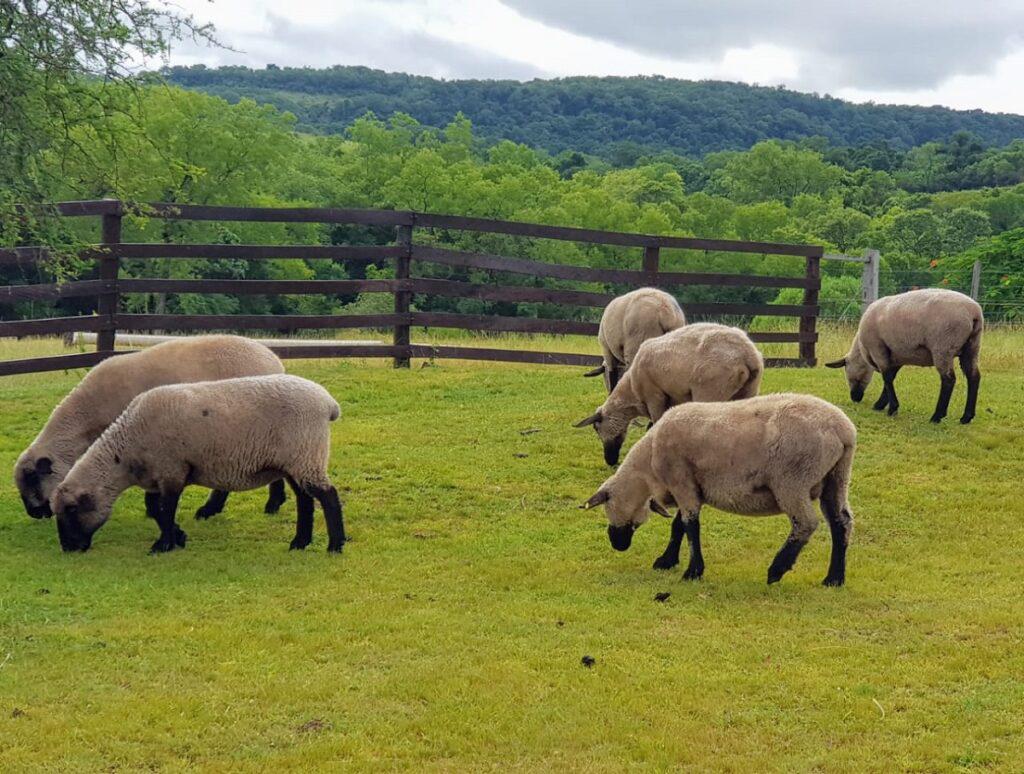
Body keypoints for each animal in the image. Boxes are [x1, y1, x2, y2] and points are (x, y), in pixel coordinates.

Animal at [51, 374, 345, 555]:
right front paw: (178, 537)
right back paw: (300, 542)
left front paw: (163, 545)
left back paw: (335, 545)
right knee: (305, 500)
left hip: (306, 454)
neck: (126, 453)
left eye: (72, 509)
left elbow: (166, 509)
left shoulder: (172, 470)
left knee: (328, 496)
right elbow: (155, 510)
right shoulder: (158, 476)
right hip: (297, 460)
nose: (67, 548)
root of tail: (328, 403)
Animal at [575, 323, 763, 466]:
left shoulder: (654, 396)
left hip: (711, 391)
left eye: (596, 428)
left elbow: (655, 423)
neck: (631, 391)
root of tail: (748, 356)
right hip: (748, 390)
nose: (610, 461)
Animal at [581, 393, 857, 586]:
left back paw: (777, 570)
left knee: (806, 523)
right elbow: (678, 525)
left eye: (607, 506)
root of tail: (843, 431)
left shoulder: (681, 480)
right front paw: (667, 561)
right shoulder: (690, 487)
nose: (618, 545)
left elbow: (691, 526)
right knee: (841, 522)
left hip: (792, 480)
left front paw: (693, 572)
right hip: (837, 478)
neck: (650, 467)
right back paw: (834, 578)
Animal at [825, 288, 983, 424]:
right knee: (973, 377)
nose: (855, 398)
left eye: (848, 374)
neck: (863, 350)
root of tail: (974, 313)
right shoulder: (896, 356)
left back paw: (937, 416)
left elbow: (887, 378)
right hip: (972, 347)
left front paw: (892, 408)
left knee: (949, 379)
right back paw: (966, 417)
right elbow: (890, 378)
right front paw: (881, 404)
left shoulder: (878, 349)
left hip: (943, 347)